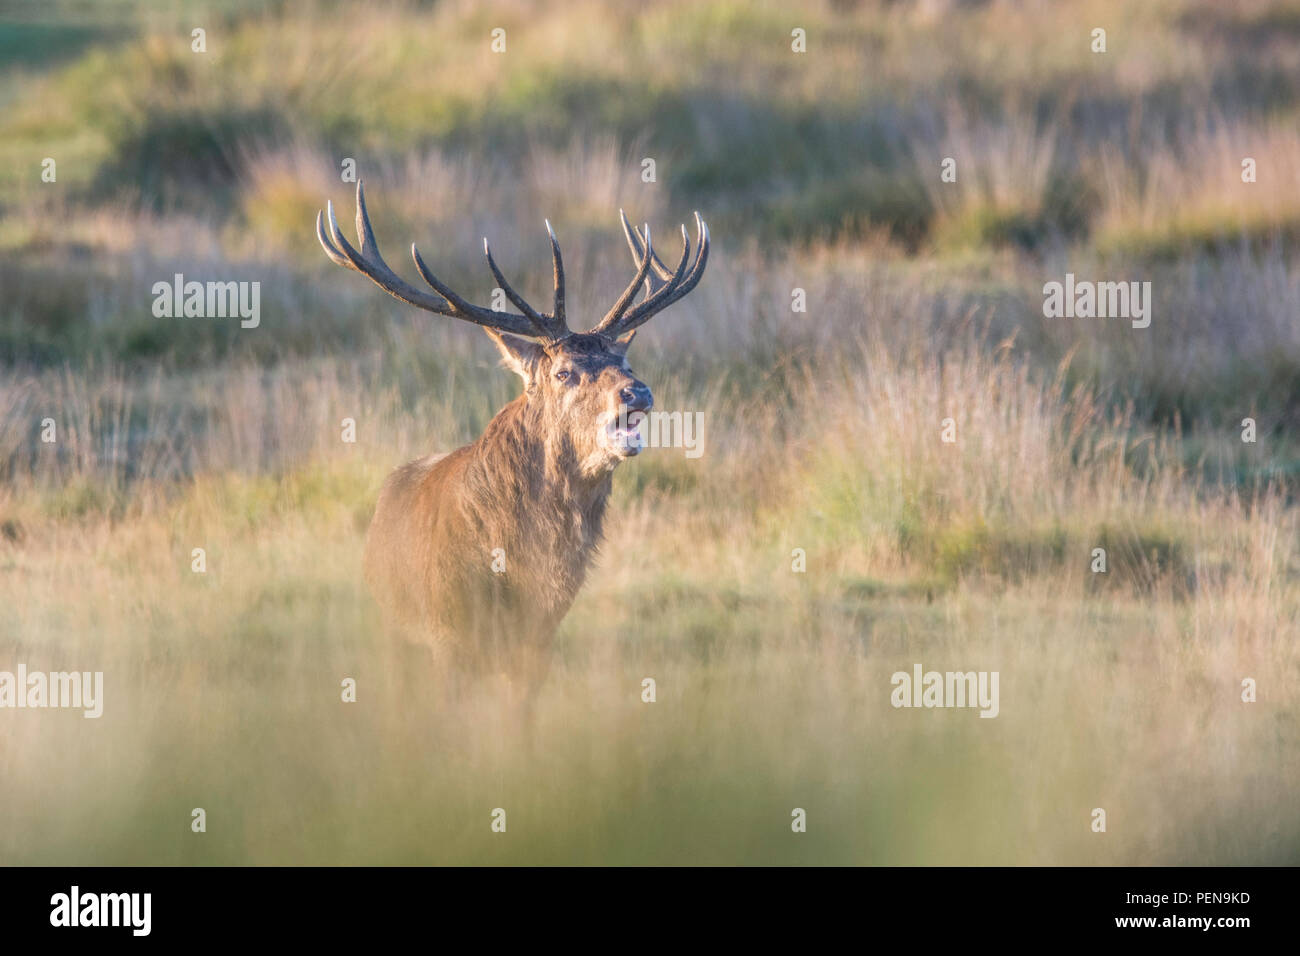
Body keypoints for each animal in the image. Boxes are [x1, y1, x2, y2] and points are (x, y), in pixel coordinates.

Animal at [316, 182, 709, 714]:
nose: (638, 392)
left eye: (623, 360)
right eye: (563, 372)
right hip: (394, 630)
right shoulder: (446, 638)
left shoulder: (537, 643)